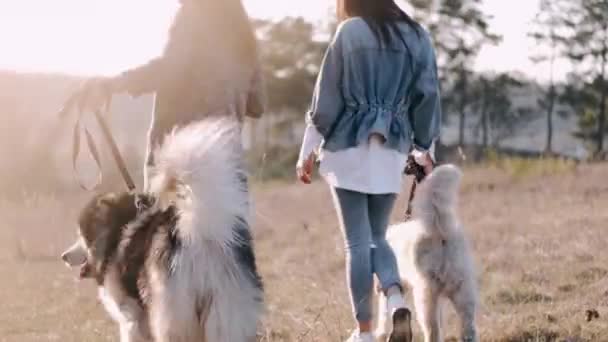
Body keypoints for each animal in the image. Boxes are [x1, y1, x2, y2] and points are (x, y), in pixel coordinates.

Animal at [59, 119, 264, 340]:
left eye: (81, 236)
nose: (64, 256)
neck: (116, 231)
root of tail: (200, 237)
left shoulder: (131, 319)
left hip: (172, 317)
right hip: (225, 312)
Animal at [372, 165, 478, 342]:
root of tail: (439, 231)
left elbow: (384, 315)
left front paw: (380, 333)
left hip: (426, 296)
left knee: (432, 330)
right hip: (463, 293)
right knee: (468, 329)